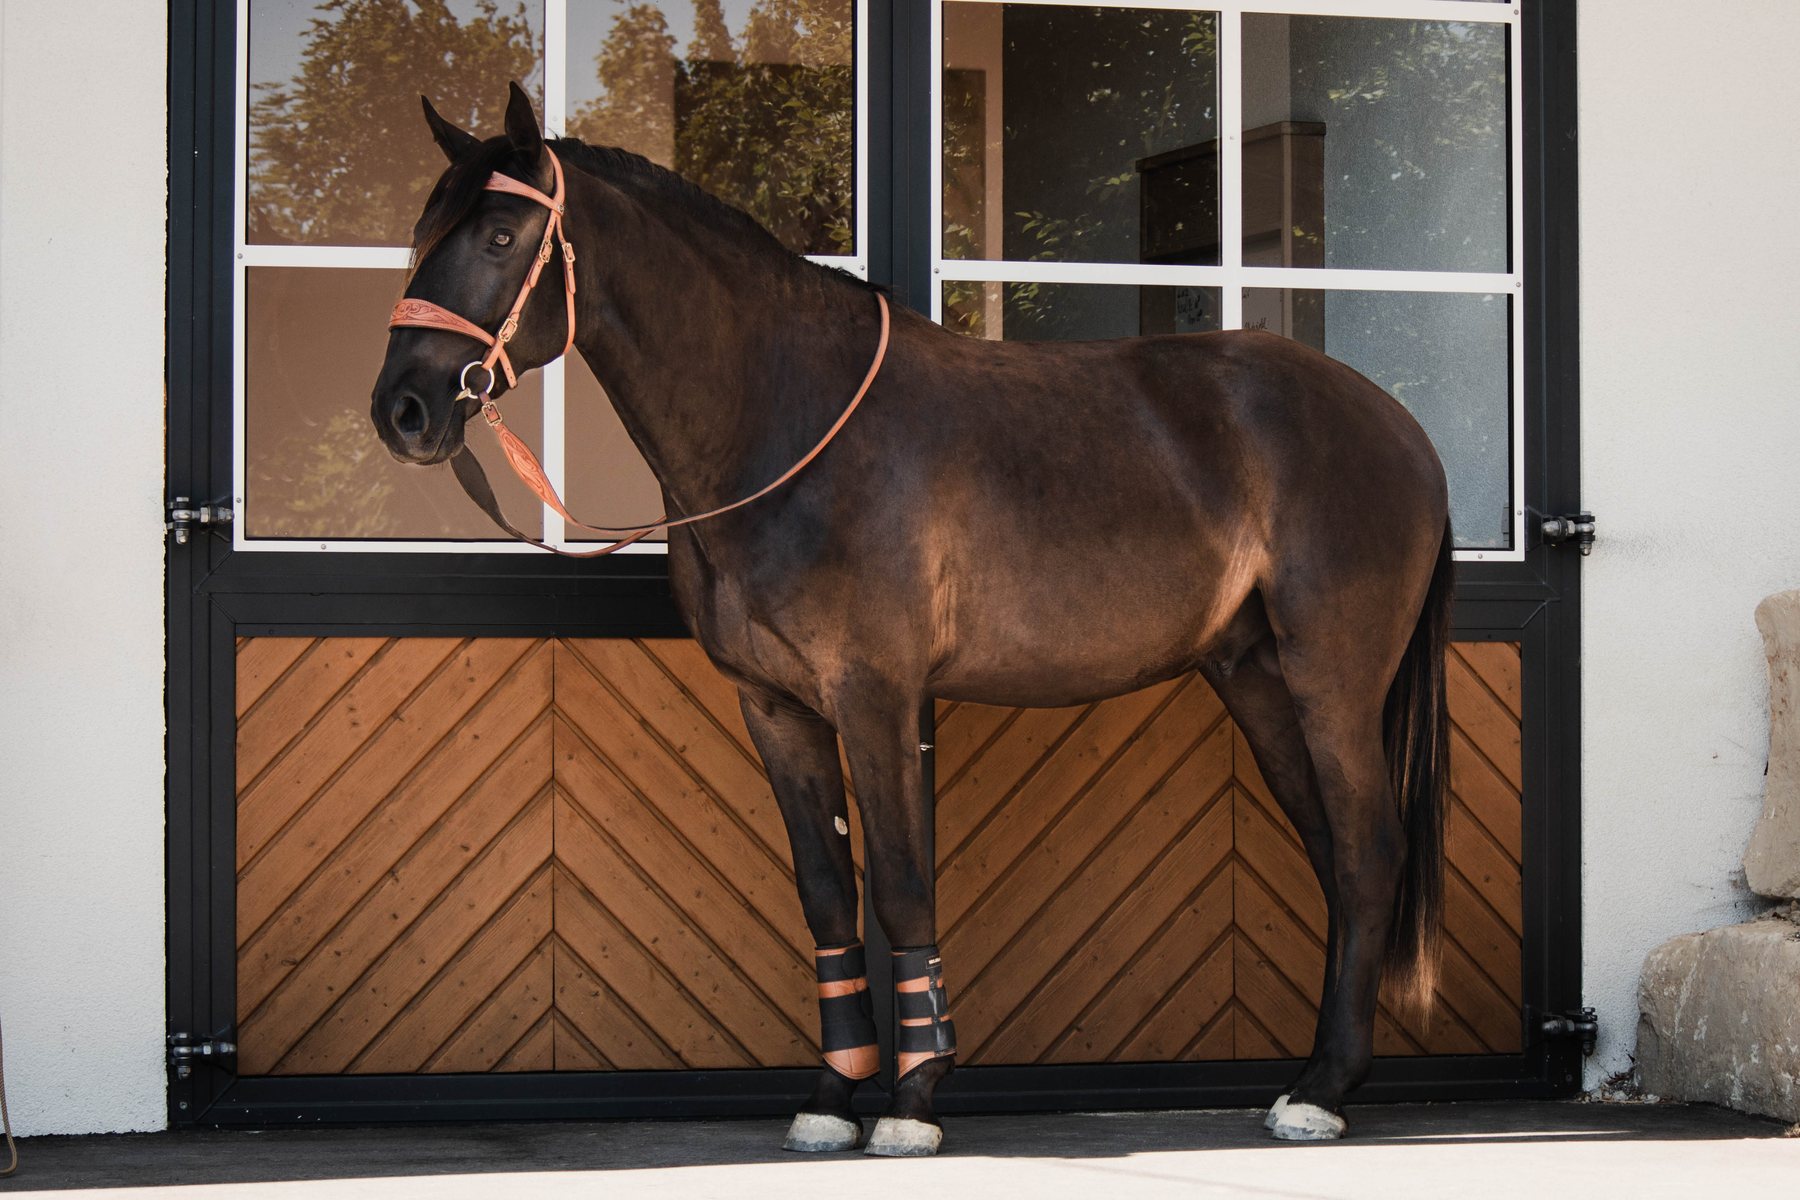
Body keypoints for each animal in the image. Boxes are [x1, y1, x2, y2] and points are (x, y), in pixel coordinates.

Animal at [370, 83, 1452, 1155]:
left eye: (501, 234)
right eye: (423, 231)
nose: (403, 410)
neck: (786, 420)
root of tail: (1403, 430)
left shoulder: (876, 696)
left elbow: (897, 881)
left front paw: (913, 1098)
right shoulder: (777, 708)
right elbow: (826, 893)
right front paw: (833, 1094)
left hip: (1331, 683)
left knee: (1369, 851)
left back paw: (1321, 1090)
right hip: (1259, 681)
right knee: (1335, 852)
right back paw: (1315, 1076)